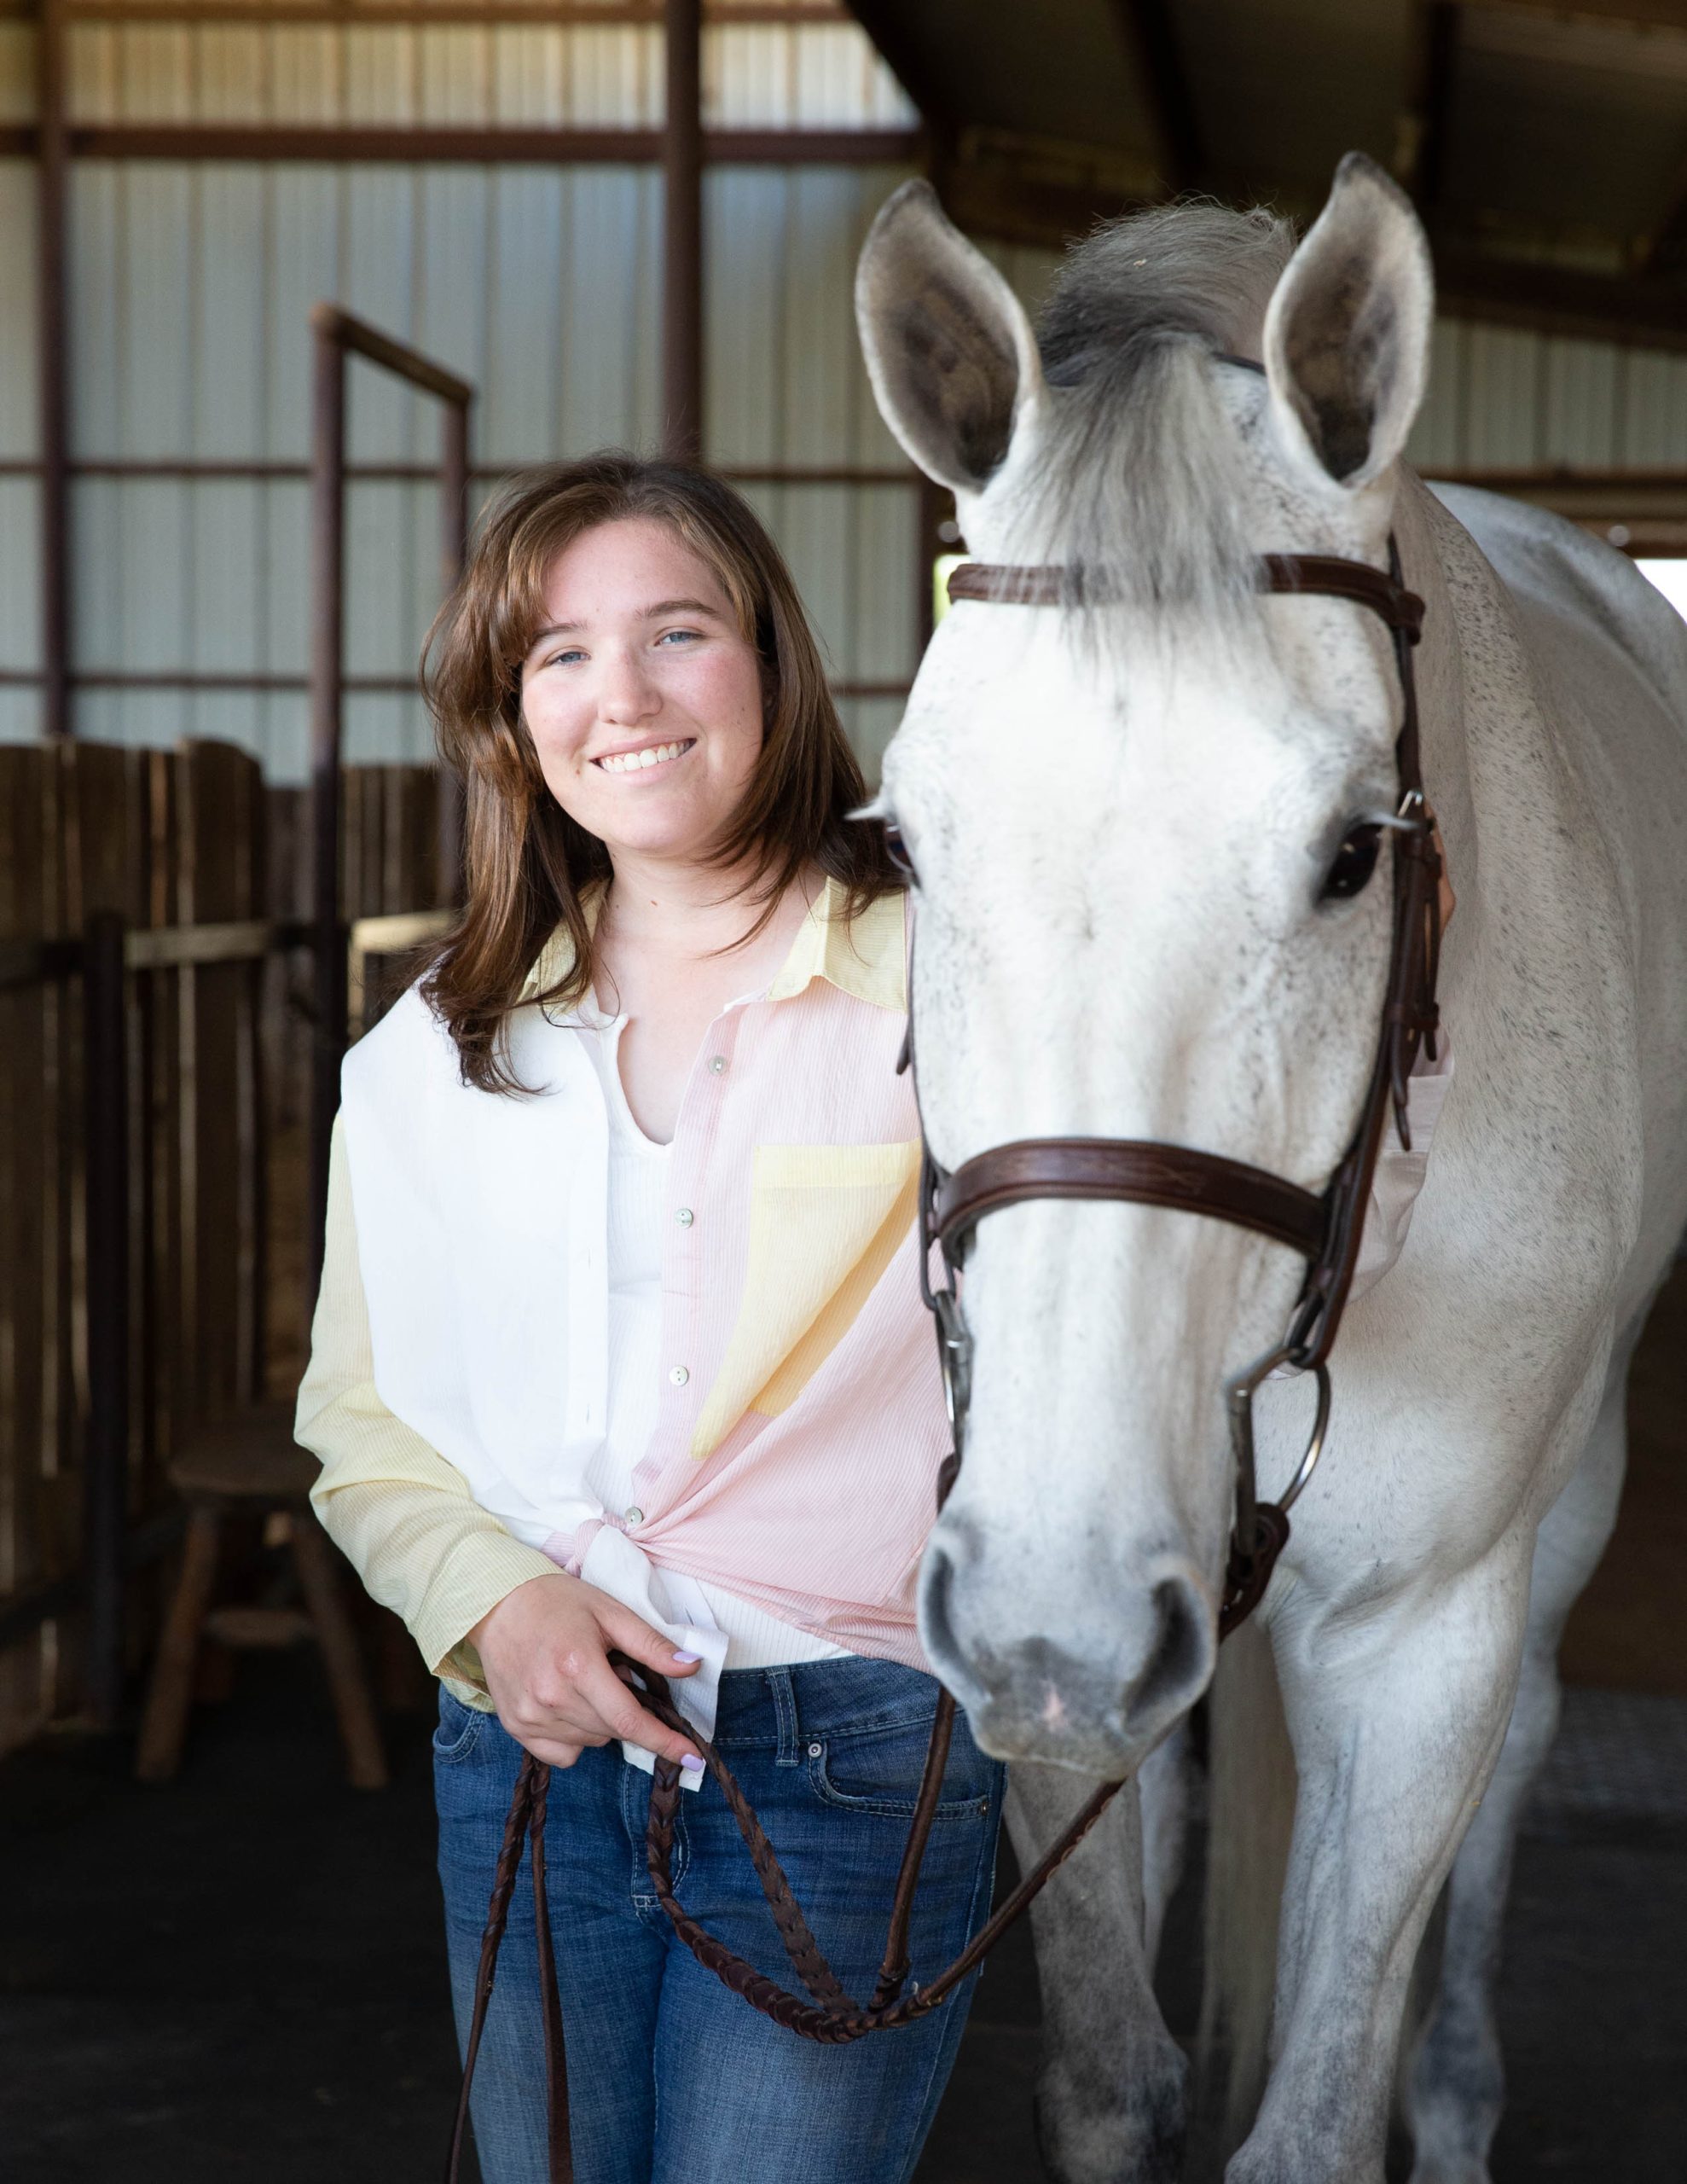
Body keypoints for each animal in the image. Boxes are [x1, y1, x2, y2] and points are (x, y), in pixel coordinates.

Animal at [852, 154, 1687, 2183]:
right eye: (902, 843)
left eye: (1346, 854)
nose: (1061, 1608)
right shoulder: (1033, 1622)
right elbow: (1108, 2075)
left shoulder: (1411, 1640)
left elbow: (1311, 2114)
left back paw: (1458, 2100)